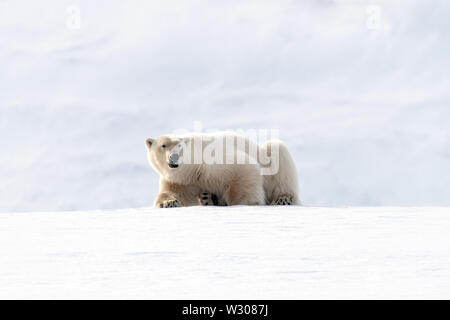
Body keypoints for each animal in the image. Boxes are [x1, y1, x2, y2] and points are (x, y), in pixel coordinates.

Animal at [145, 132, 298, 208]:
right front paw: (168, 203)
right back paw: (208, 198)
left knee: (277, 149)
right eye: (163, 145)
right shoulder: (181, 181)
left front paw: (245, 203)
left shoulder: (211, 162)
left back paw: (284, 199)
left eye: (180, 145)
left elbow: (243, 169)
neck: (192, 170)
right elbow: (172, 192)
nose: (174, 157)